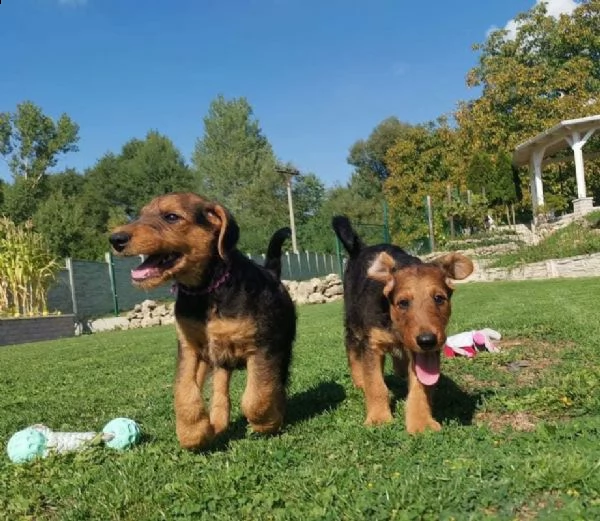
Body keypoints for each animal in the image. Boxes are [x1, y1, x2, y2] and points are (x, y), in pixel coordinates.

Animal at [109, 193, 296, 448]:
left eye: (171, 217)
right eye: (141, 214)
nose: (115, 239)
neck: (207, 289)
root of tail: (272, 273)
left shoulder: (263, 347)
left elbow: (257, 396)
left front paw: (267, 423)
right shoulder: (189, 347)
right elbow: (184, 389)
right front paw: (193, 433)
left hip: (282, 348)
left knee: (277, 383)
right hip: (218, 358)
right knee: (219, 388)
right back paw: (216, 422)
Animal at [332, 213, 474, 432]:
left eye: (439, 299)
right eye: (403, 303)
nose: (427, 340)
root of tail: (361, 247)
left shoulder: (426, 351)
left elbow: (420, 387)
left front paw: (421, 423)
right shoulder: (372, 344)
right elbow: (376, 385)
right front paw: (378, 418)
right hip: (352, 322)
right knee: (352, 350)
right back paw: (359, 380)